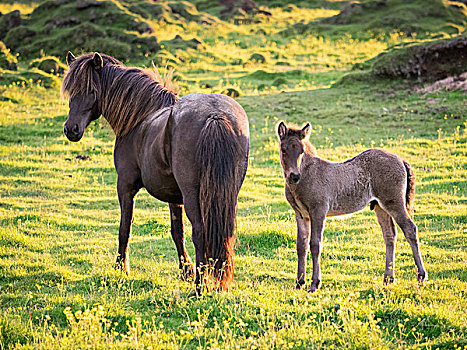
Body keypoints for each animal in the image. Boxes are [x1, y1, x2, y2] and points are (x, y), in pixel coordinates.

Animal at [63, 51, 252, 292]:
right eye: (72, 91)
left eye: (90, 90)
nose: (71, 130)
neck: (140, 118)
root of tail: (215, 116)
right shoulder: (174, 196)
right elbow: (177, 231)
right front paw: (186, 271)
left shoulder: (125, 186)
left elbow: (125, 227)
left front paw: (121, 268)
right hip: (227, 193)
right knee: (223, 232)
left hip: (193, 194)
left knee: (200, 231)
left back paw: (199, 287)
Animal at [278, 121, 428, 292]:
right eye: (283, 149)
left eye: (301, 151)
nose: (294, 176)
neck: (307, 175)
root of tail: (401, 160)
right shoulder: (301, 215)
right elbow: (301, 245)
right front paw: (299, 283)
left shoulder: (318, 211)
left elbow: (315, 244)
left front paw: (314, 284)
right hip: (380, 207)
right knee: (390, 235)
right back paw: (388, 278)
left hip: (394, 203)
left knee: (410, 229)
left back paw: (421, 275)